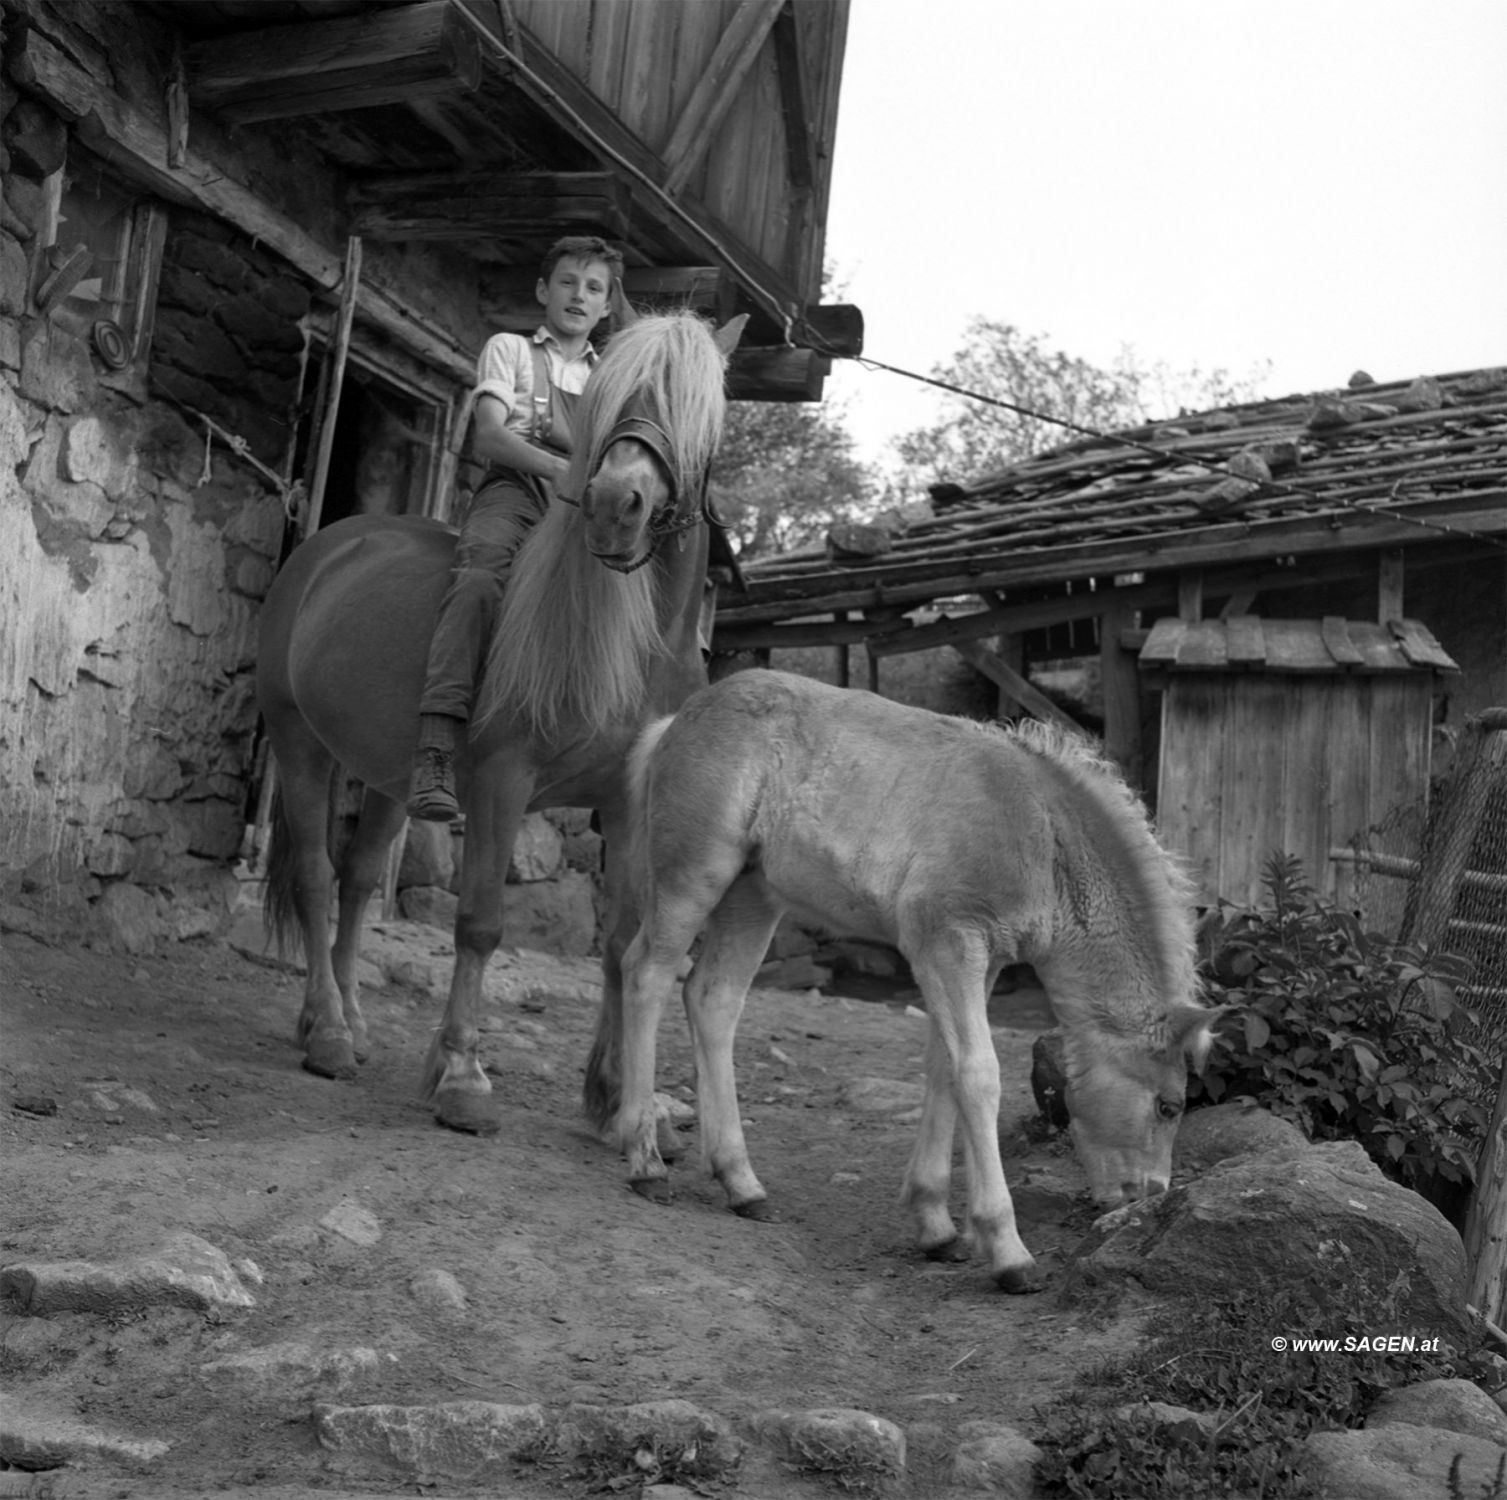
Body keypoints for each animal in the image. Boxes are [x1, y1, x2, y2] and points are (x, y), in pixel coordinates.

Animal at [256, 310, 744, 1133]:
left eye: (699, 406)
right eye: (614, 395)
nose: (616, 502)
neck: (638, 645)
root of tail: (329, 544)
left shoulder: (628, 805)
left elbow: (620, 943)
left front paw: (614, 1095)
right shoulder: (502, 782)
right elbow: (481, 923)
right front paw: (460, 1075)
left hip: (389, 777)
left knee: (358, 878)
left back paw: (349, 1019)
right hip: (300, 744)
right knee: (317, 877)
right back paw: (326, 1033)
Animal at [599, 669, 1223, 1290]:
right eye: (1169, 1106)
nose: (1143, 1197)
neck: (1041, 836)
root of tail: (676, 719)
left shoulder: (979, 961)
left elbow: (944, 1067)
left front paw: (935, 1225)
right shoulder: (950, 943)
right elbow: (979, 1074)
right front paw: (1007, 1249)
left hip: (753, 896)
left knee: (713, 1000)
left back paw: (742, 1184)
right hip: (695, 875)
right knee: (645, 973)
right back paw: (646, 1161)